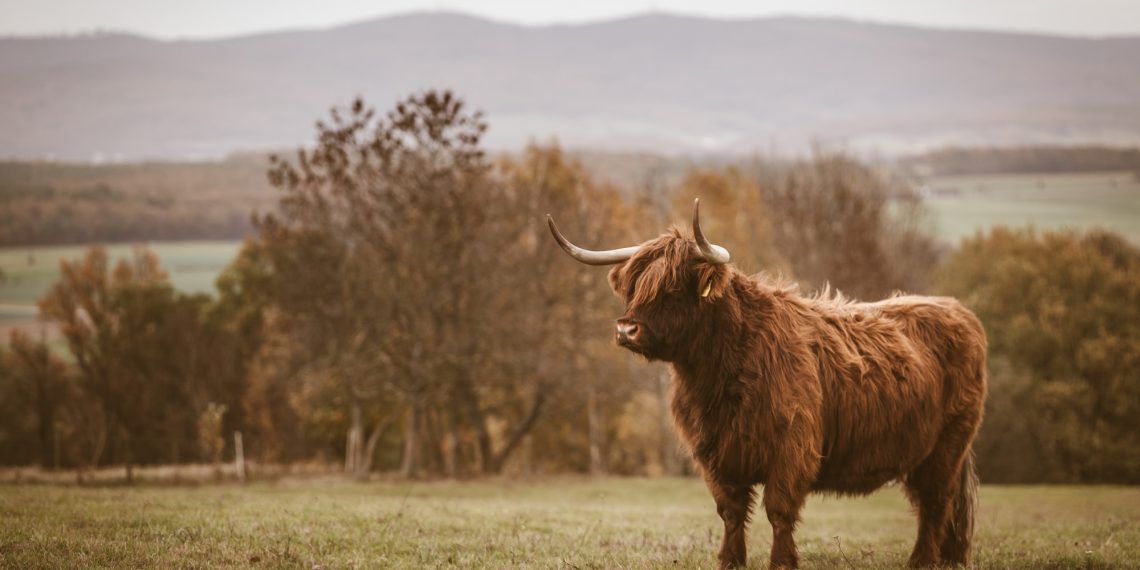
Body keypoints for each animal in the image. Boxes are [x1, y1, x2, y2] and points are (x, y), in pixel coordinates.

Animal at [547, 199, 987, 569]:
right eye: (634, 287)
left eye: (671, 288)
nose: (626, 329)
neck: (720, 374)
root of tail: (957, 309)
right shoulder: (714, 452)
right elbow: (730, 511)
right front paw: (730, 561)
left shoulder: (792, 448)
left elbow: (779, 510)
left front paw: (782, 562)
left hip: (947, 446)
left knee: (935, 502)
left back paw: (921, 561)